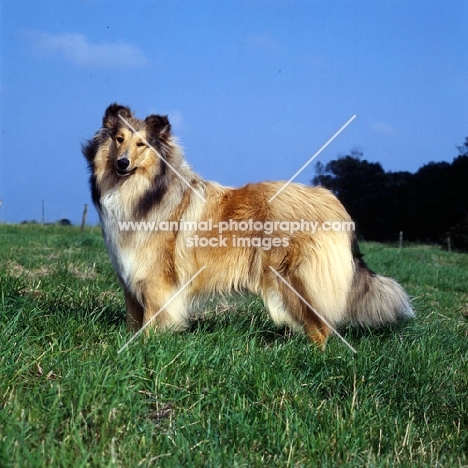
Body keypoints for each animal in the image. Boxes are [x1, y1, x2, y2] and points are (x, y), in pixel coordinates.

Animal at [81, 104, 414, 350]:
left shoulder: (156, 283)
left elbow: (151, 322)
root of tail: (334, 202)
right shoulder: (130, 281)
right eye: (119, 139)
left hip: (296, 280)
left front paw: (145, 347)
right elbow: (132, 320)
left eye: (142, 144)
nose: (122, 163)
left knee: (322, 328)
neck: (140, 193)